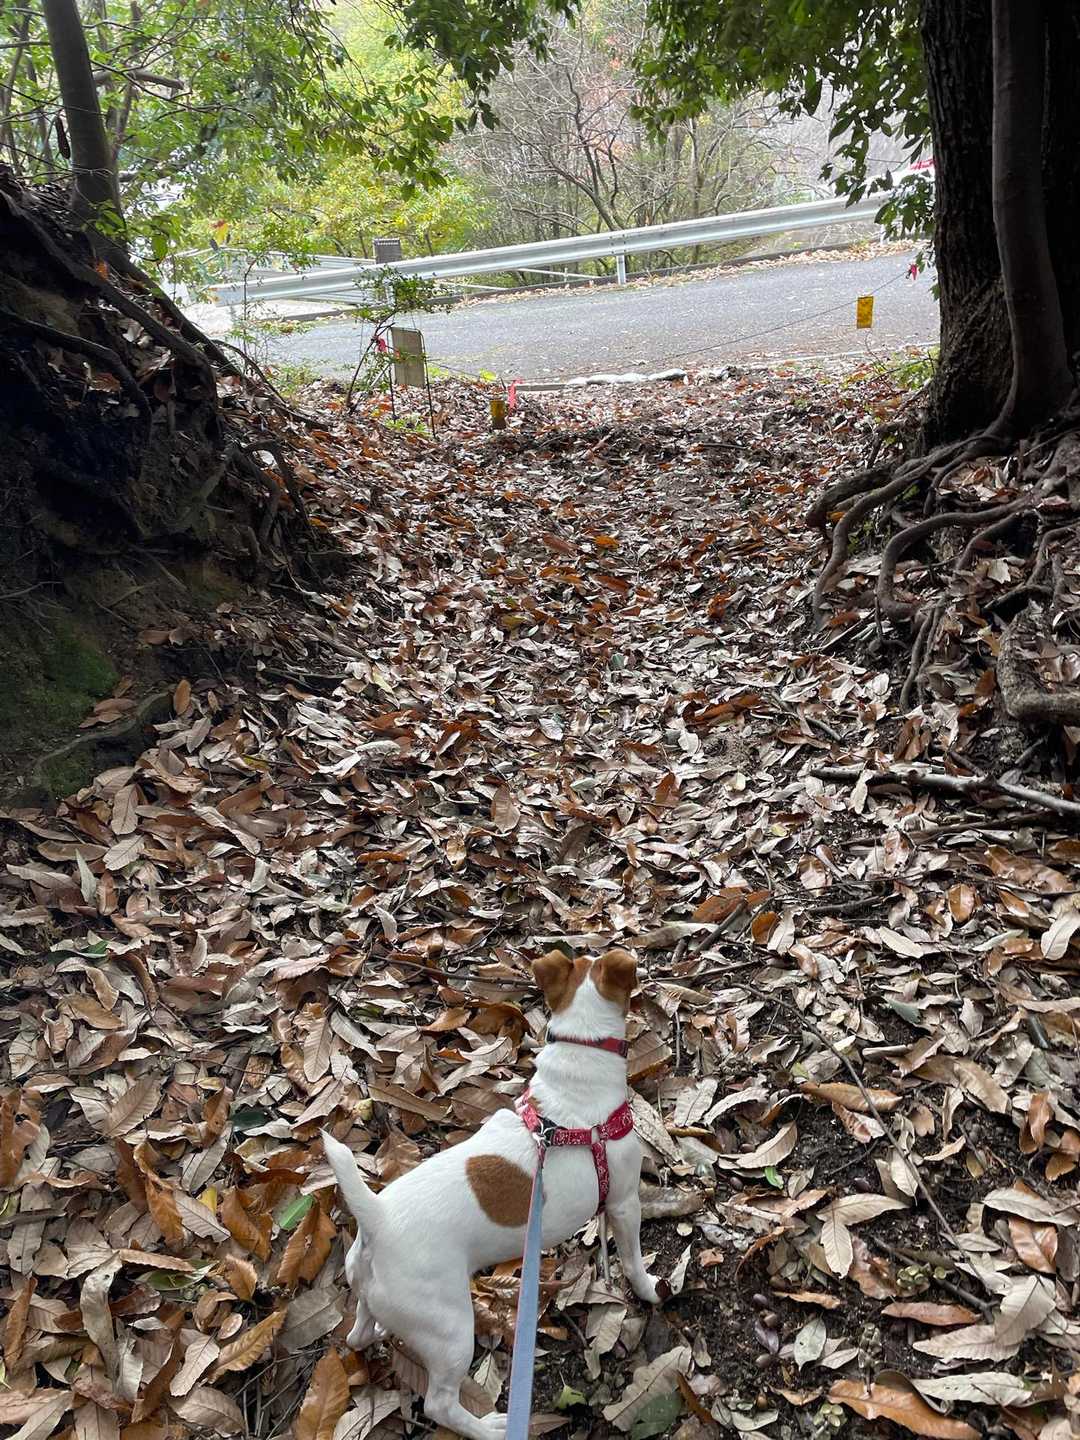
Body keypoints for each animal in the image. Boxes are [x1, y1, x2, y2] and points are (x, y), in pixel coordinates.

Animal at [321, 947, 660, 1440]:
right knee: (440, 1404)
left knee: (359, 1333)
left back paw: (380, 1333)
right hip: (451, 1330)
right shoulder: (623, 1202)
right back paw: (490, 1428)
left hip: (371, 1294)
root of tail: (378, 1220)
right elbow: (632, 1258)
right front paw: (649, 1289)